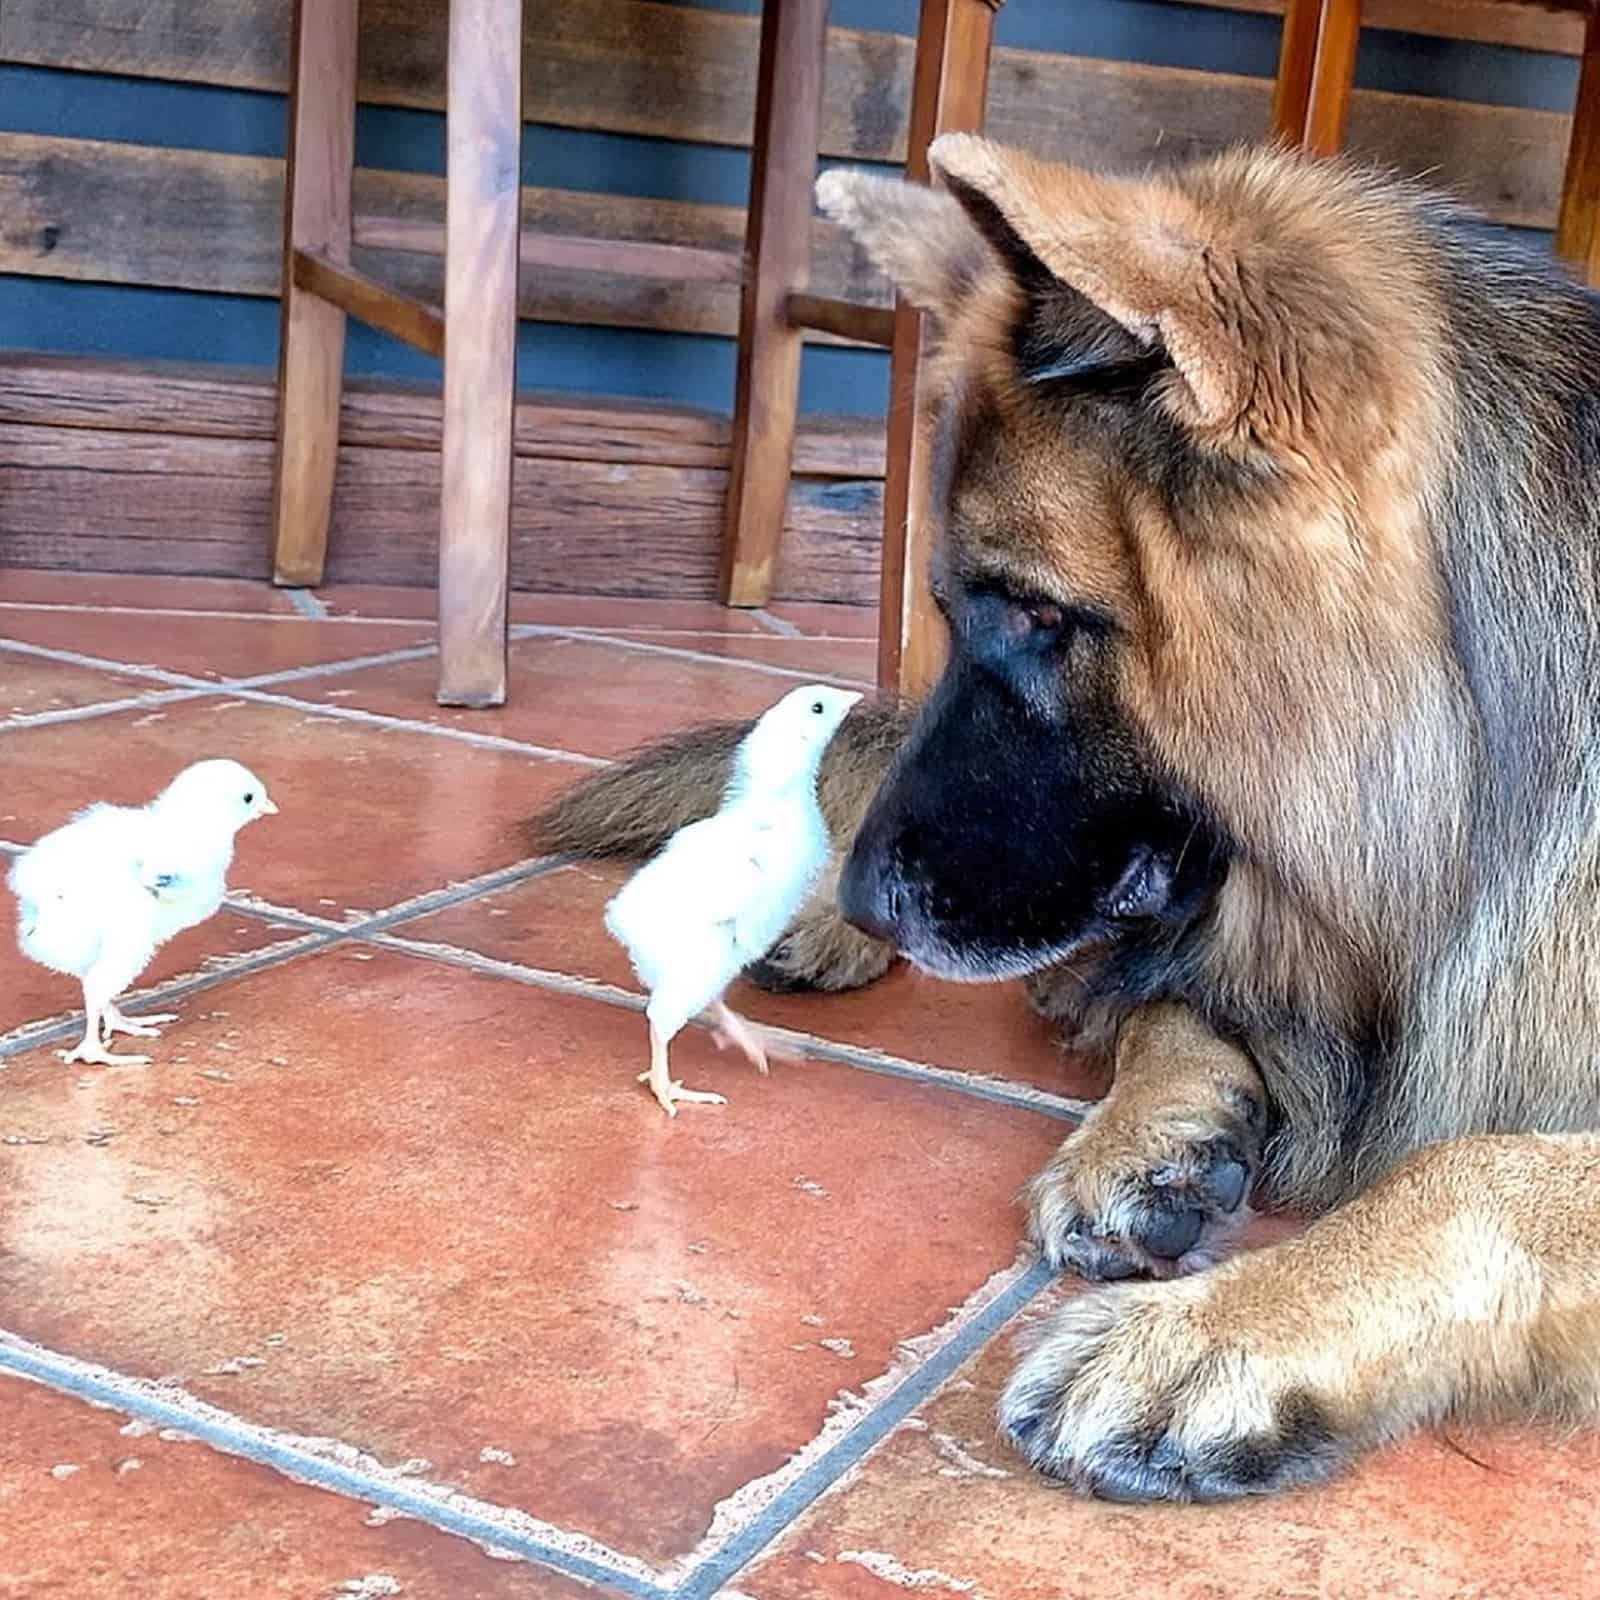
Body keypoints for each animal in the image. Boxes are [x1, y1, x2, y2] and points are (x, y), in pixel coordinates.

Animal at [534, 134, 1600, 1497]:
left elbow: (1474, 1167)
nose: (870, 893)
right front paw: (1147, 1136)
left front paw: (1220, 1330)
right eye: (950, 608)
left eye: (1041, 614)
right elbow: (1166, 1005)